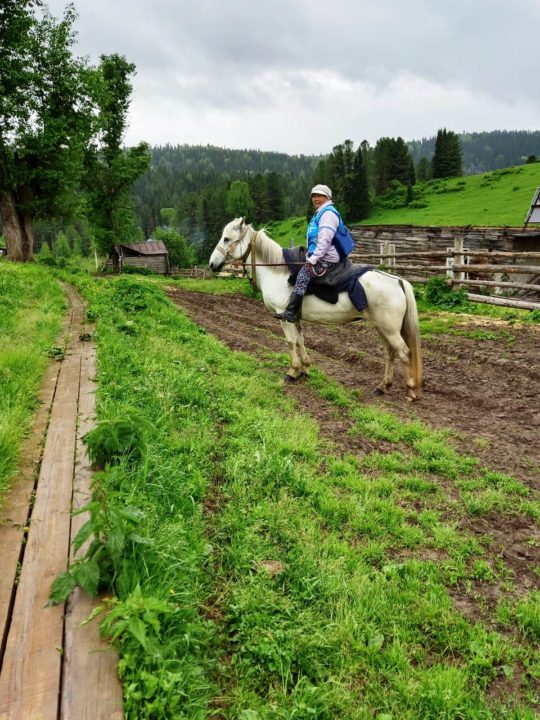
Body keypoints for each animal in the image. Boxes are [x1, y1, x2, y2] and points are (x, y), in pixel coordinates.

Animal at [209, 219, 424, 400]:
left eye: (226, 238)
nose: (212, 264)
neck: (277, 271)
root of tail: (398, 281)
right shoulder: (294, 317)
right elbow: (300, 341)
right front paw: (305, 369)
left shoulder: (284, 316)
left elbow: (290, 342)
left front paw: (292, 371)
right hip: (383, 328)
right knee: (390, 353)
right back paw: (383, 386)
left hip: (389, 329)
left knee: (405, 353)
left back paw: (410, 390)